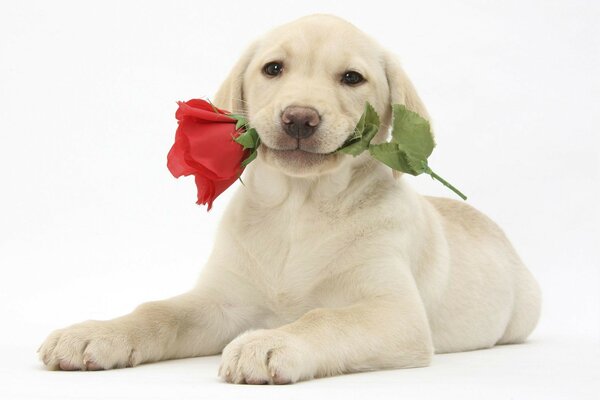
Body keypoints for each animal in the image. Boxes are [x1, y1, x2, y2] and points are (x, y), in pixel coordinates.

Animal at [38, 14, 544, 384]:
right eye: (274, 69)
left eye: (352, 78)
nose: (300, 118)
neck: (298, 209)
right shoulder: (221, 303)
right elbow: (158, 311)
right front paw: (95, 333)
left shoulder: (395, 313)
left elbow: (324, 318)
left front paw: (269, 342)